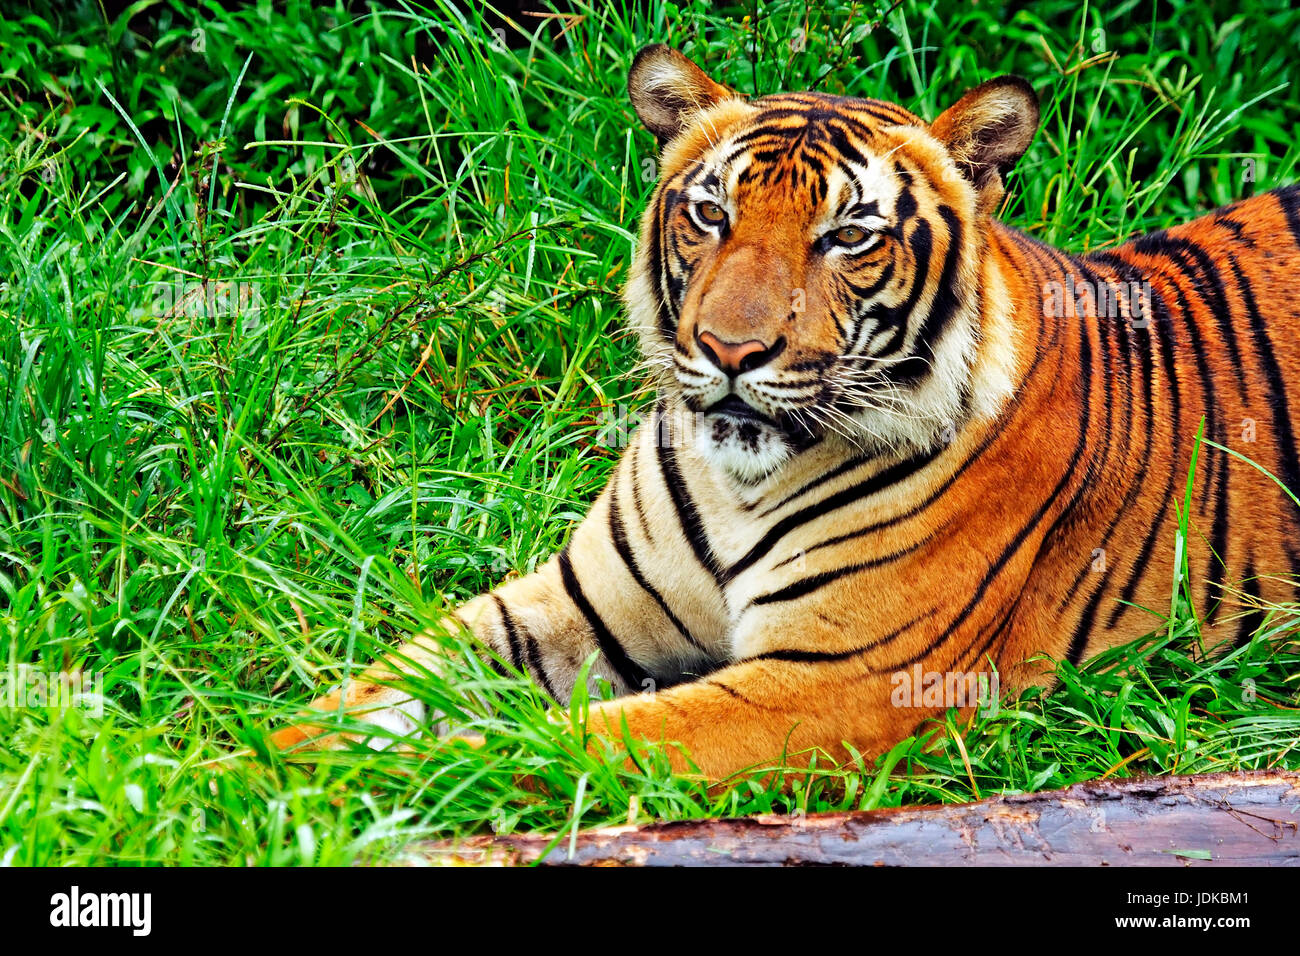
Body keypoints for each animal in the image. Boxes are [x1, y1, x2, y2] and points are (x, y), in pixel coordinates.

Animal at [269, 44, 1300, 780]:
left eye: (848, 236)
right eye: (712, 214)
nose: (730, 351)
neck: (739, 484)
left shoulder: (840, 680)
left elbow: (580, 741)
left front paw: (370, 784)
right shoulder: (576, 602)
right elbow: (382, 685)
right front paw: (250, 759)